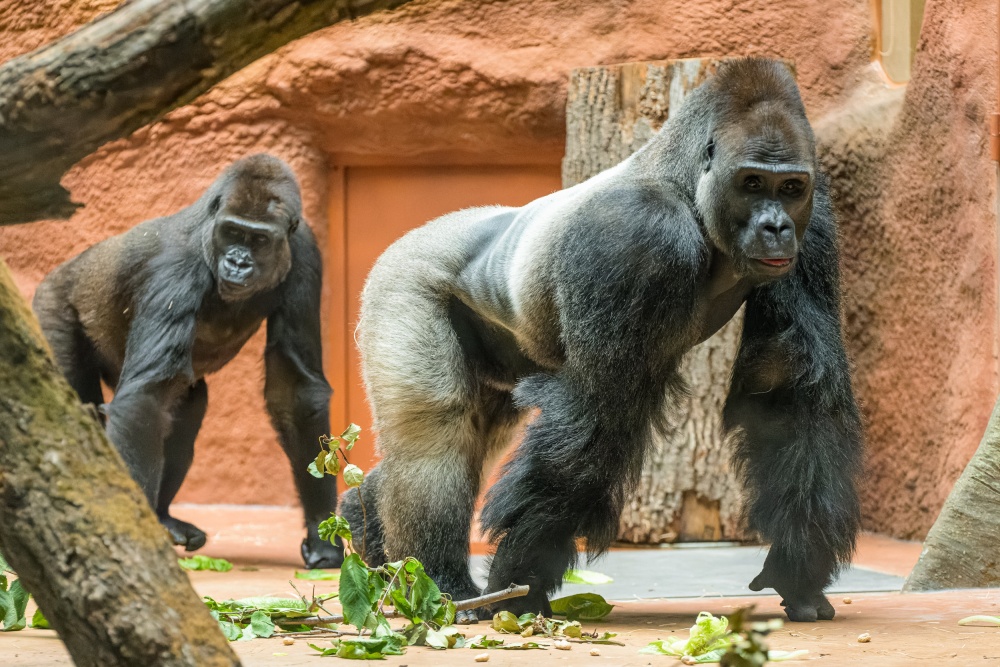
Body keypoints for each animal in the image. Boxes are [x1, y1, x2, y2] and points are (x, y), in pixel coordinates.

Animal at [32, 155, 344, 568]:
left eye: (259, 240)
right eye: (232, 232)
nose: (238, 262)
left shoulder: (304, 249)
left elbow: (293, 390)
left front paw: (322, 534)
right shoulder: (176, 267)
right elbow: (146, 396)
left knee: (186, 406)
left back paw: (164, 516)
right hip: (51, 306)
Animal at [342, 58, 860, 628]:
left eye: (790, 187)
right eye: (751, 183)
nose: (776, 227)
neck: (685, 185)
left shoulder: (814, 220)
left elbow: (792, 385)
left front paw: (798, 569)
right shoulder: (636, 234)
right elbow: (598, 413)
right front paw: (519, 581)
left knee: (474, 430)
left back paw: (367, 532)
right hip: (401, 281)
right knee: (437, 435)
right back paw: (440, 582)